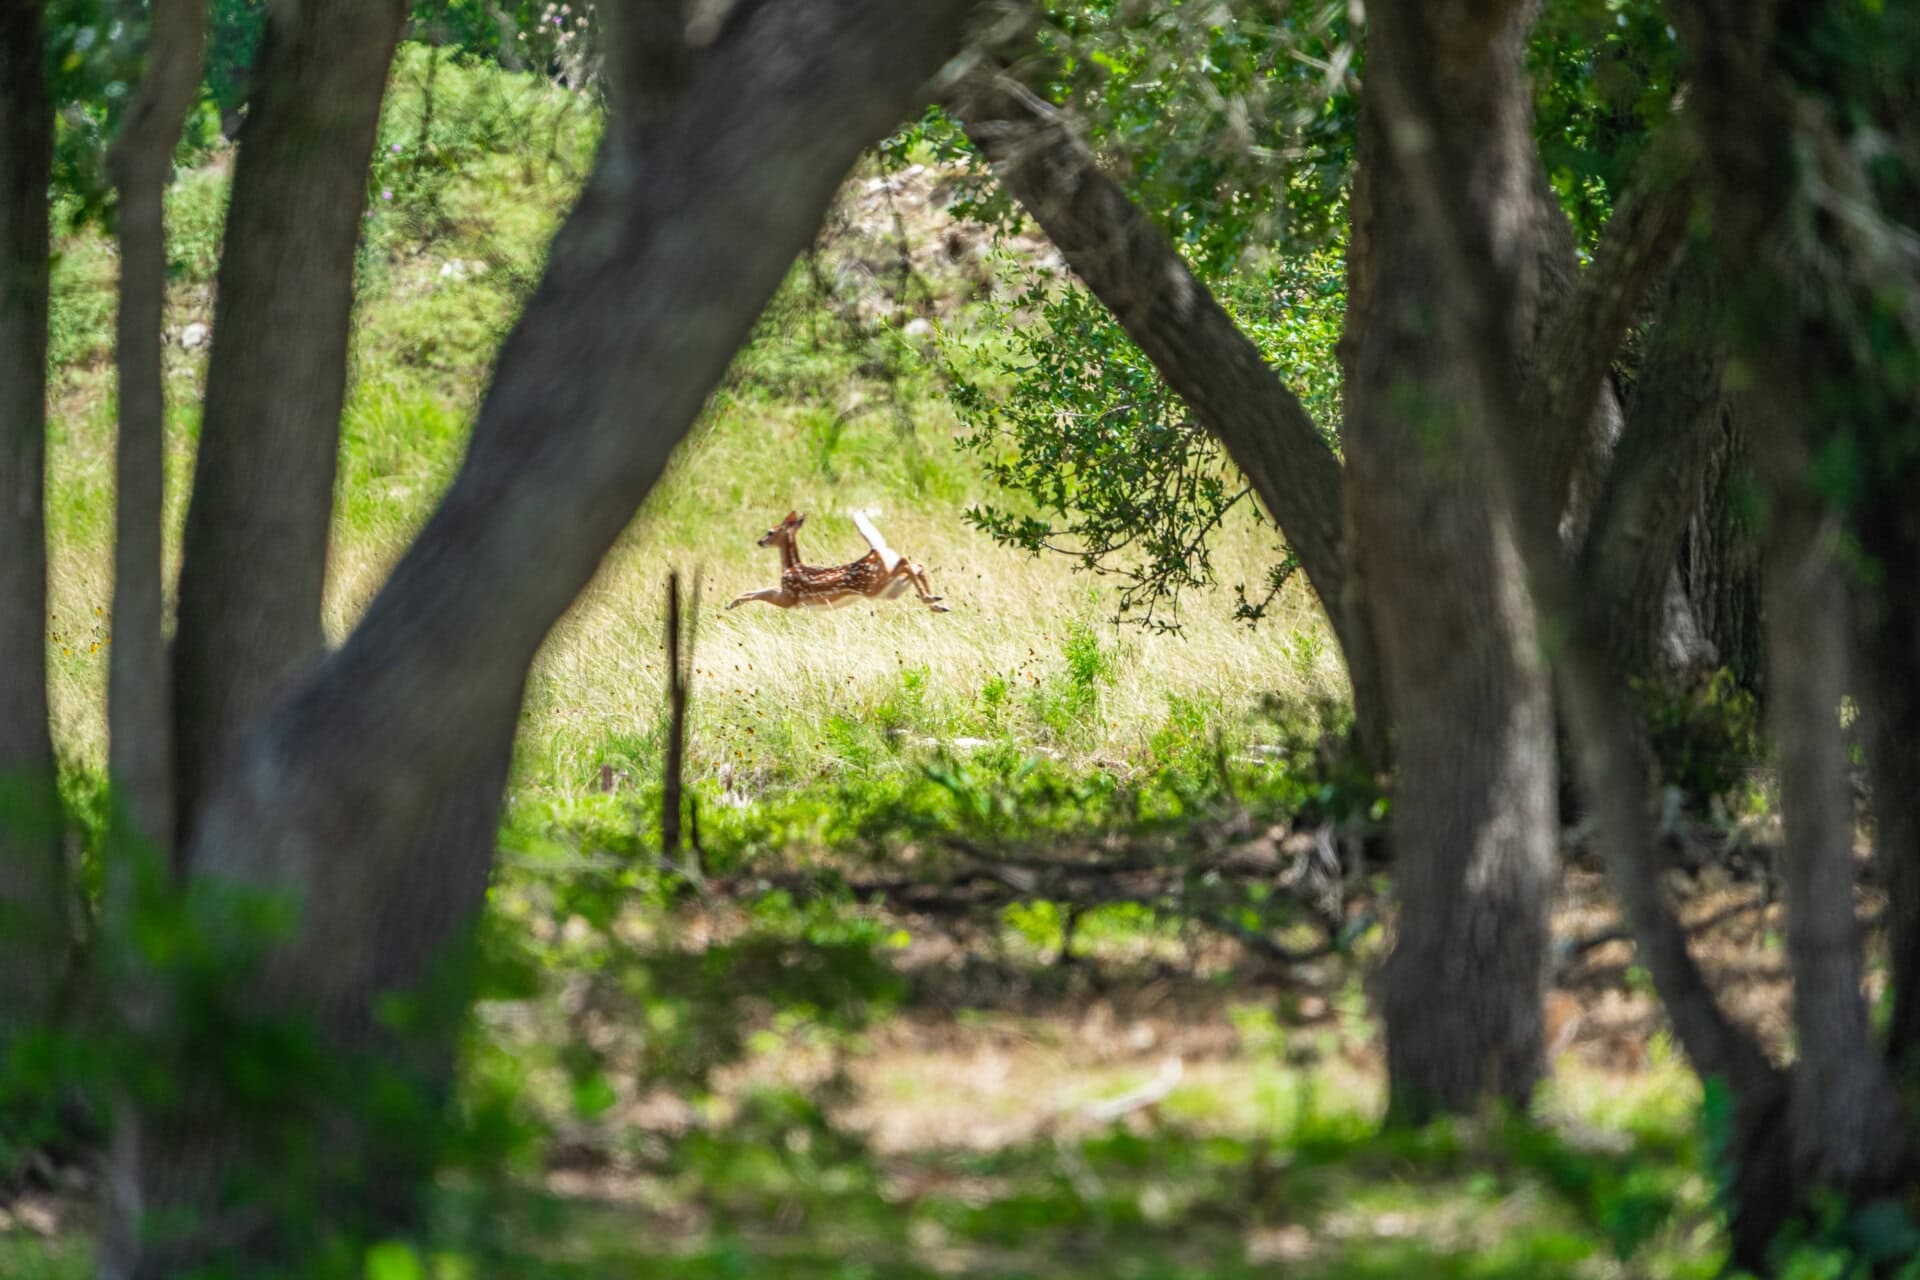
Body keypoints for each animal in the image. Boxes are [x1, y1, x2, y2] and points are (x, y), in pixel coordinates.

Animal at [726, 510, 950, 613]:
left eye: (770, 531)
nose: (760, 541)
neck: (791, 566)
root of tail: (875, 550)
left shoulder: (789, 597)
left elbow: (763, 593)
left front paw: (731, 604)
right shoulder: (786, 594)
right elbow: (758, 590)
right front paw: (731, 603)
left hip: (874, 586)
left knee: (906, 562)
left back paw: (932, 600)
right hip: (890, 590)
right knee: (916, 565)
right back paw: (937, 603)